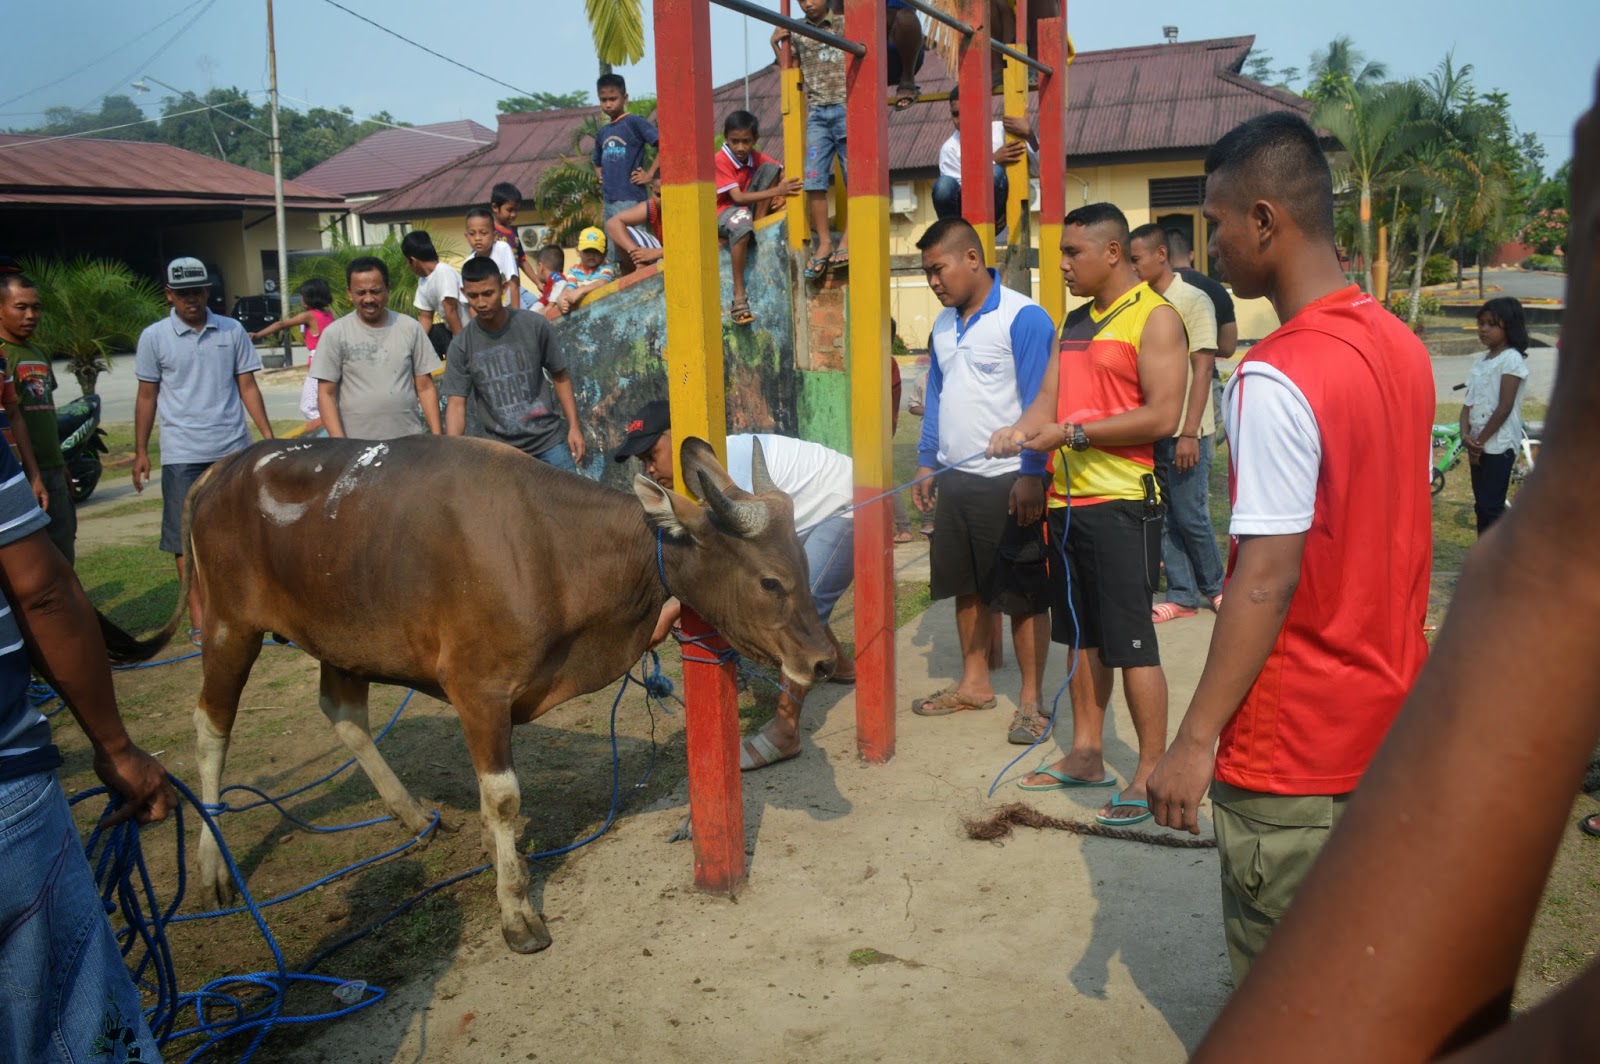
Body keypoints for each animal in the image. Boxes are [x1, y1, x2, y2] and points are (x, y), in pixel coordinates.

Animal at [108, 435, 838, 947]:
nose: (825, 657)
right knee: (210, 727)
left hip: (340, 631)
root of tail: (224, 469)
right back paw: (212, 867)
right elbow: (504, 798)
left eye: (803, 565)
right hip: (228, 626)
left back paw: (408, 814)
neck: (554, 550)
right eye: (770, 580)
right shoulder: (477, 689)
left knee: (341, 712)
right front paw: (516, 910)